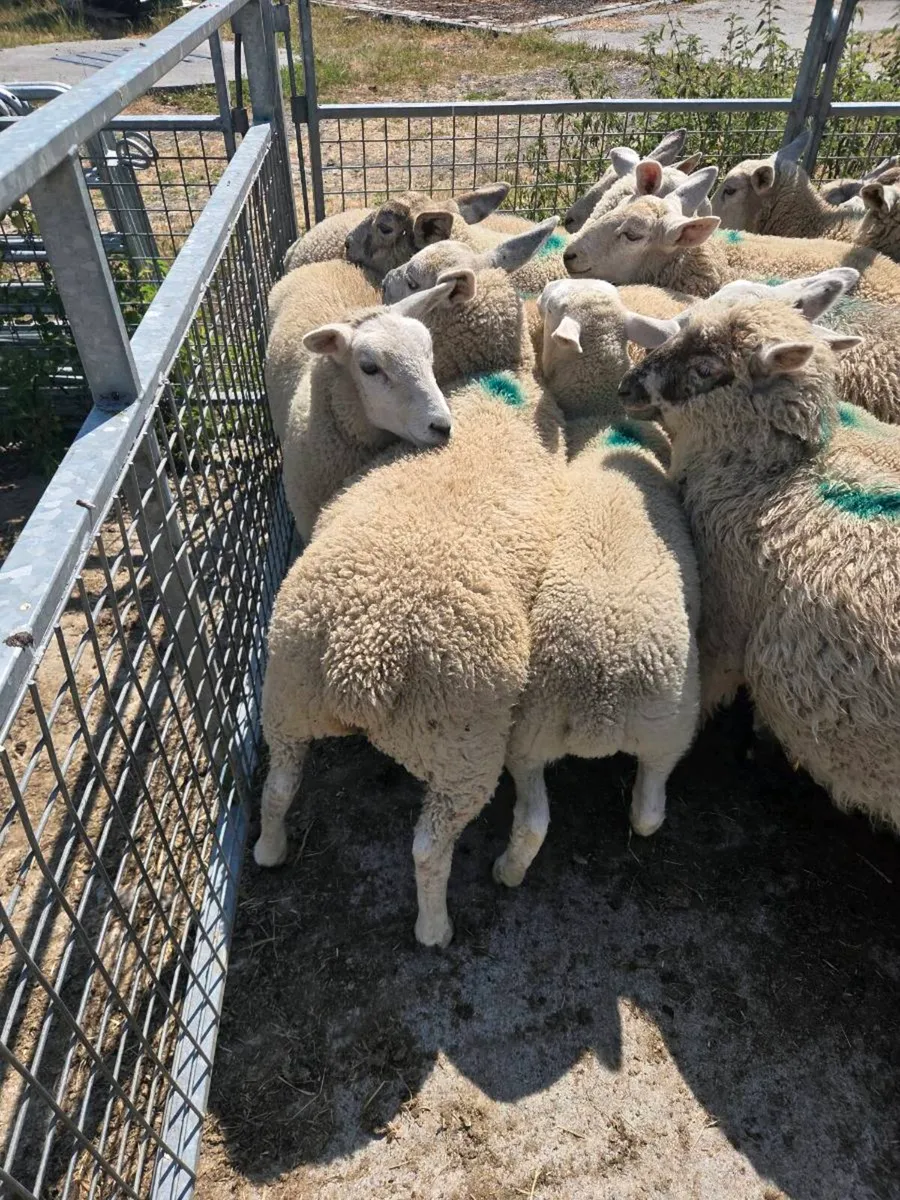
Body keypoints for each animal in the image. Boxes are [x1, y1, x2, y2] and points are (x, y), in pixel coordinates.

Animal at [492, 280, 700, 889]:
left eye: (550, 305)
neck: (606, 418)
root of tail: (602, 702)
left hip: (528, 730)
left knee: (533, 819)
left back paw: (505, 872)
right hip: (669, 729)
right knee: (649, 810)